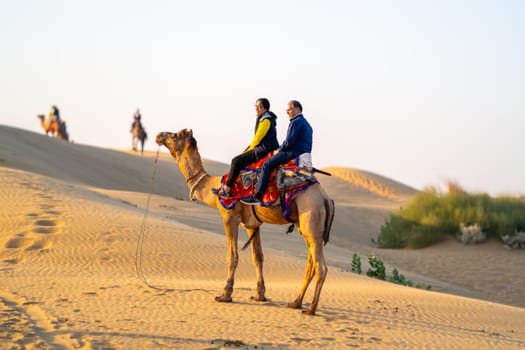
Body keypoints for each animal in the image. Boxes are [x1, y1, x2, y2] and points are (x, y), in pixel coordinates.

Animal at [157, 128, 336, 314]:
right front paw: (260, 295)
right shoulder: (252, 225)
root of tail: (325, 198)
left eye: (174, 136)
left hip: (312, 218)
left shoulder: (229, 216)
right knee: (311, 265)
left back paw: (311, 309)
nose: (159, 135)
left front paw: (225, 294)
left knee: (321, 268)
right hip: (305, 226)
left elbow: (232, 256)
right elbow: (258, 257)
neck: (214, 187)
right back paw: (296, 302)